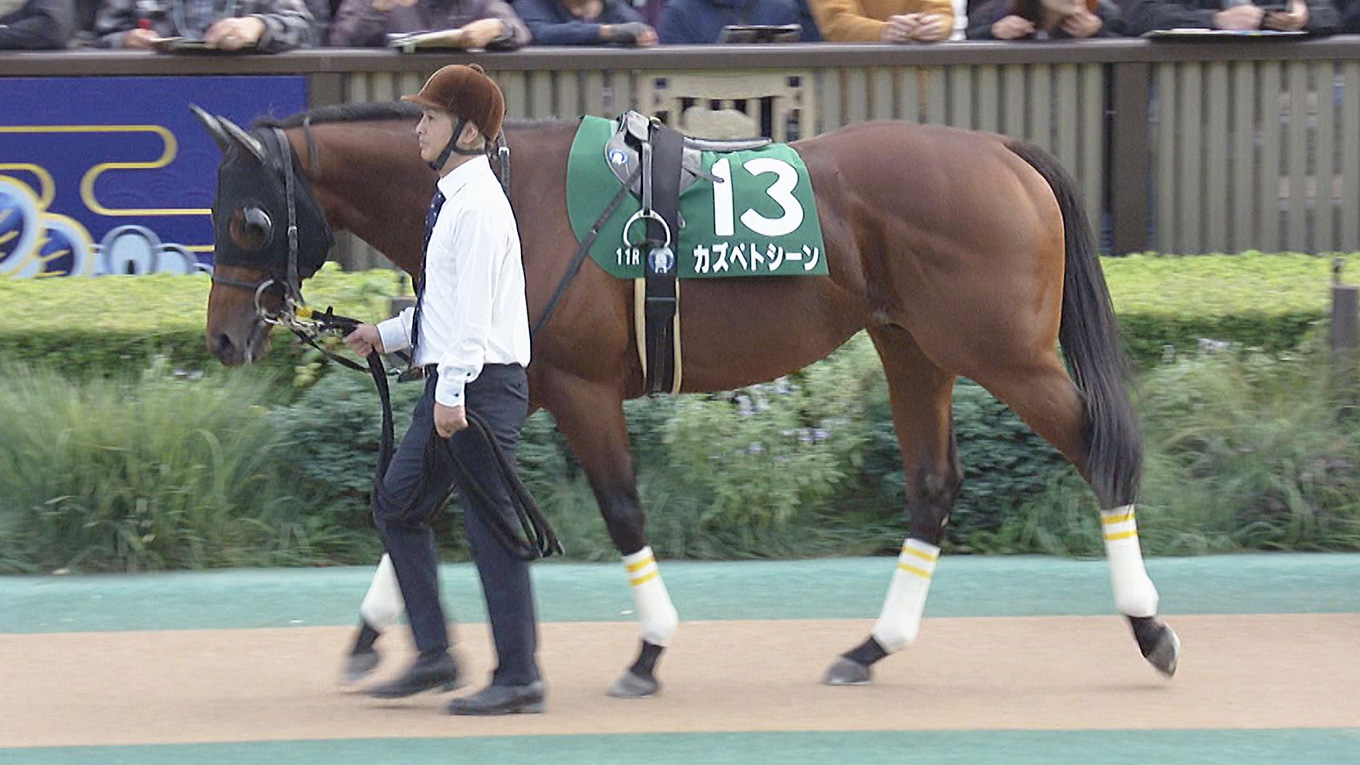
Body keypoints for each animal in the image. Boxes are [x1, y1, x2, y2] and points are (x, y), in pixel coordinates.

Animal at [198, 100, 1180, 697]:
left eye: (249, 219)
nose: (225, 337)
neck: (504, 194)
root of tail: (1000, 149)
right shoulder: (510, 381)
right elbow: (430, 493)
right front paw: (375, 637)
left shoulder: (581, 387)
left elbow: (622, 510)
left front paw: (649, 647)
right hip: (913, 347)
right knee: (935, 486)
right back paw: (869, 647)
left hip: (1002, 350)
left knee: (1101, 450)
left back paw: (1149, 628)